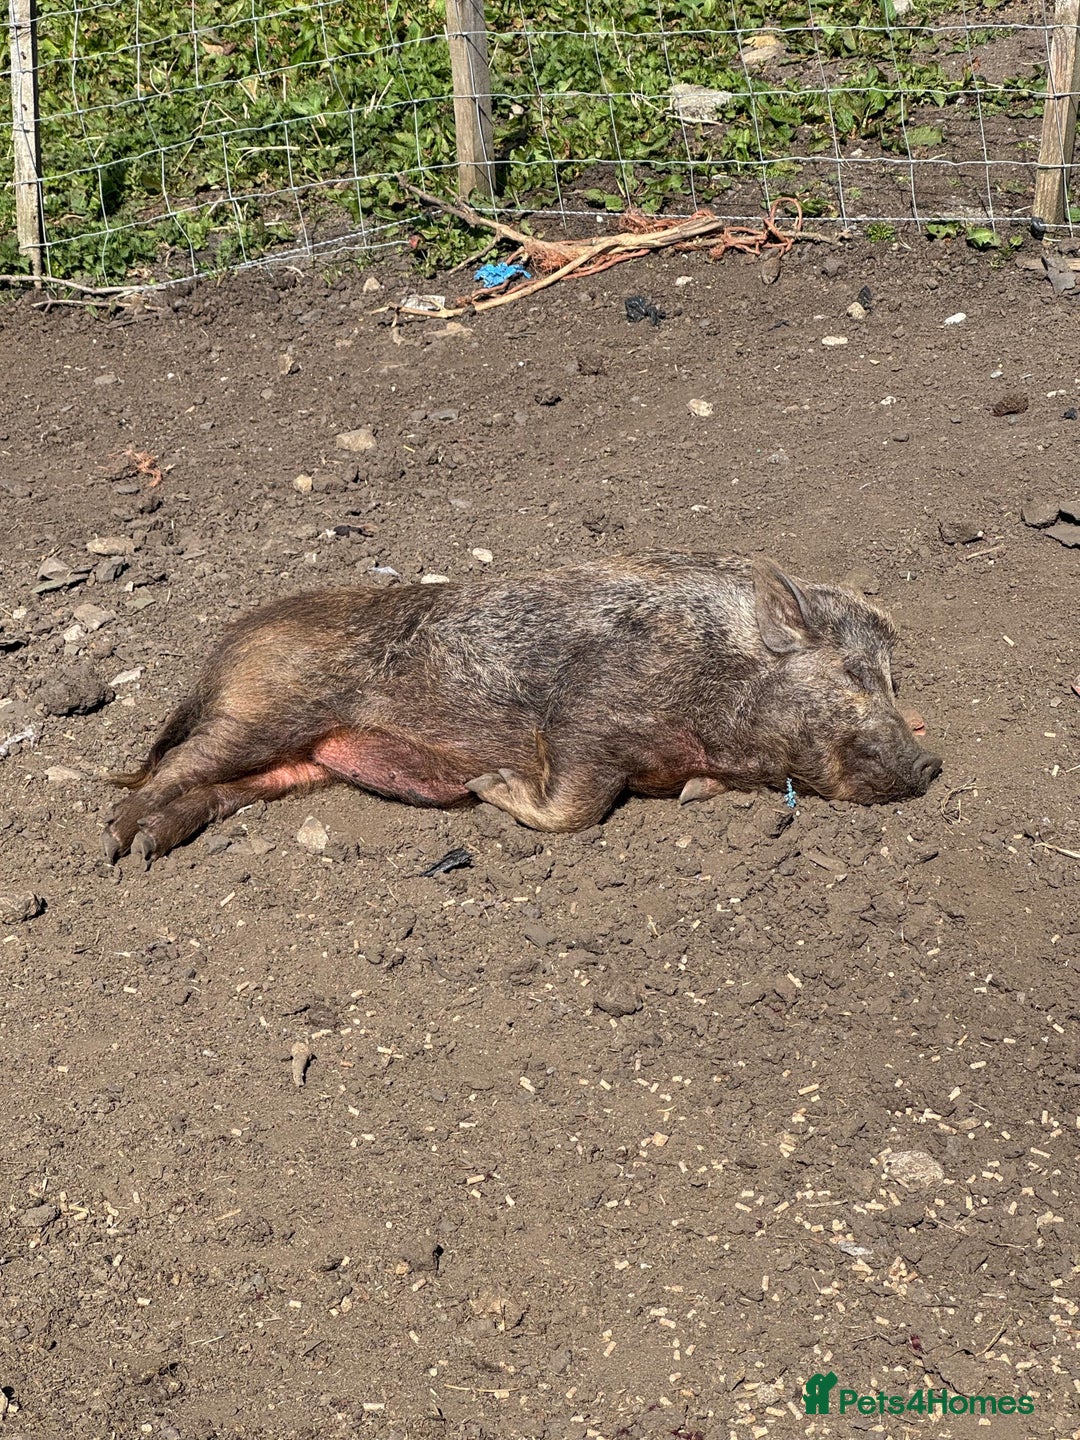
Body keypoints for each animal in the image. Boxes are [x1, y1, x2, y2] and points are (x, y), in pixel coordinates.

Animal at [103, 553, 942, 864]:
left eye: (893, 680)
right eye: (855, 674)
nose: (933, 761)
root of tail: (221, 652)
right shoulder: (585, 718)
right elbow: (572, 806)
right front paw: (486, 787)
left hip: (299, 765)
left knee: (219, 790)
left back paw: (148, 844)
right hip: (267, 710)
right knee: (180, 762)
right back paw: (116, 841)